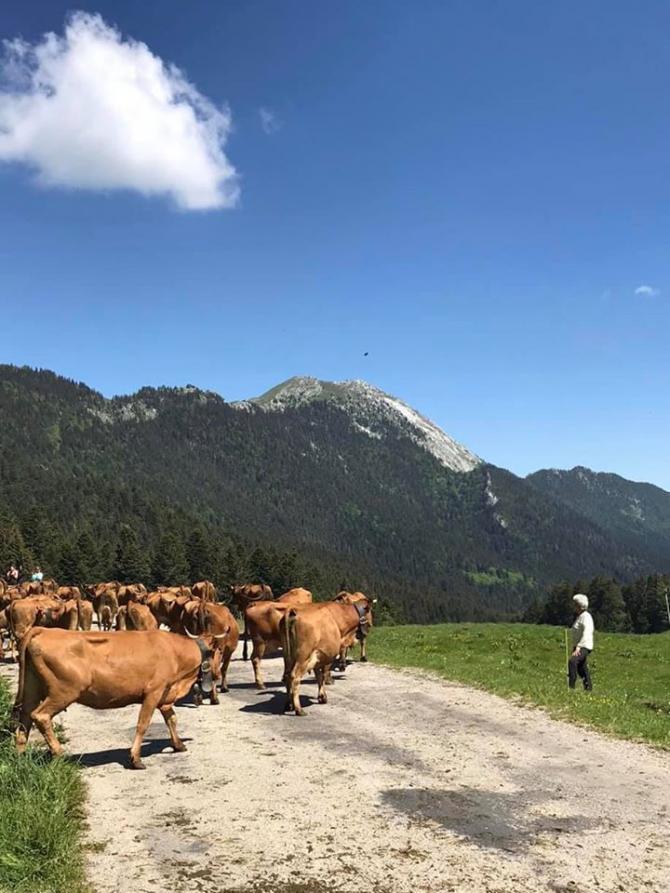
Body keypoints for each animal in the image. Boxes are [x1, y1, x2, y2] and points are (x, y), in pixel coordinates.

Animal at [11, 628, 224, 768]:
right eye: (220, 653)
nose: (218, 675)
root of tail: (43, 630)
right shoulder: (154, 692)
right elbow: (143, 724)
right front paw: (136, 759)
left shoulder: (165, 694)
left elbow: (172, 719)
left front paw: (178, 745)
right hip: (63, 691)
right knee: (40, 716)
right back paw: (60, 754)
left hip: (32, 689)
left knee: (24, 720)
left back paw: (20, 760)